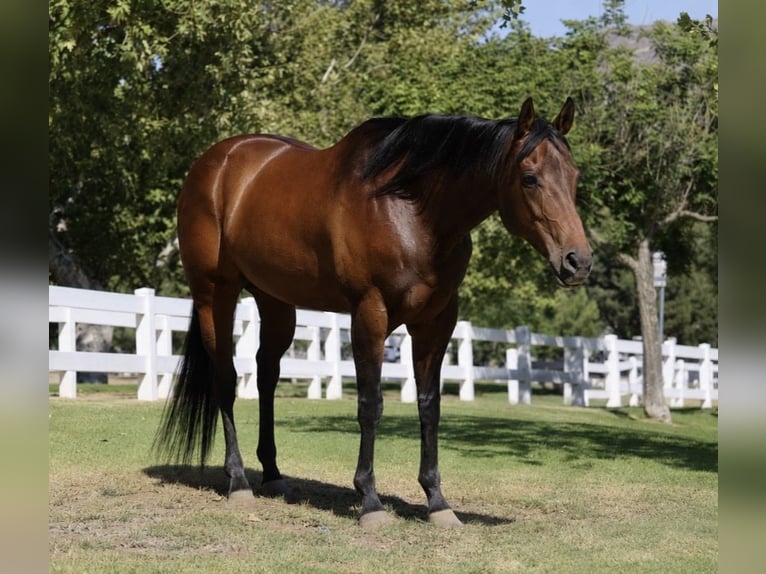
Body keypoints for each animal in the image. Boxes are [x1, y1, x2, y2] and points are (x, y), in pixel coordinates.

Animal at [154, 97, 592, 528]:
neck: (412, 209)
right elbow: (371, 404)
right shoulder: (370, 314)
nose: (578, 262)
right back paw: (239, 481)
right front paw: (370, 500)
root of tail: (215, 161)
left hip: (275, 301)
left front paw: (437, 502)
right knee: (226, 380)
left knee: (266, 376)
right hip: (215, 295)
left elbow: (429, 405)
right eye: (530, 178)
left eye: (574, 177)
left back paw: (274, 475)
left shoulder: (436, 322)